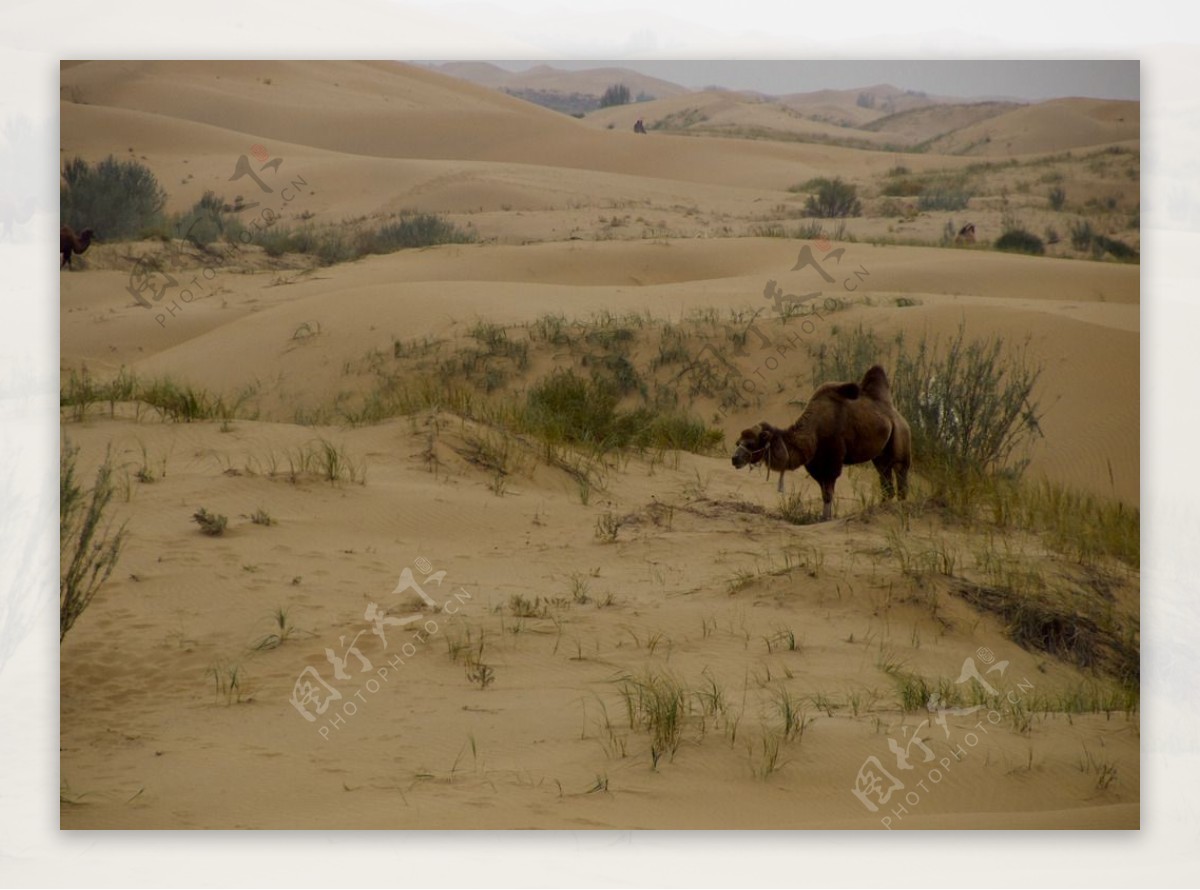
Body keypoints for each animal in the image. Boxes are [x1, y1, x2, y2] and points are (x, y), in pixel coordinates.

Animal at [729, 367, 907, 522]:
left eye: (751, 443)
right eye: (738, 441)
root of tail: (897, 415)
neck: (812, 433)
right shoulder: (815, 464)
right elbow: (824, 492)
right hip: (880, 456)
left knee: (900, 473)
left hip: (901, 436)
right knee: (885, 478)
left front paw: (826, 518)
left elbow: (828, 493)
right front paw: (824, 517)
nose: (734, 458)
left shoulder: (832, 461)